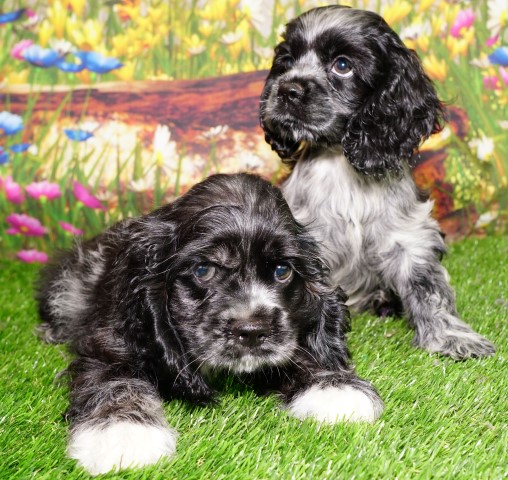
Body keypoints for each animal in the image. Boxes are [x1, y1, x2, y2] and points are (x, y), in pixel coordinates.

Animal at [260, 5, 494, 360]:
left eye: (343, 65)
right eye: (286, 61)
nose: (287, 90)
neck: (341, 164)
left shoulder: (409, 237)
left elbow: (430, 290)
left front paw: (452, 337)